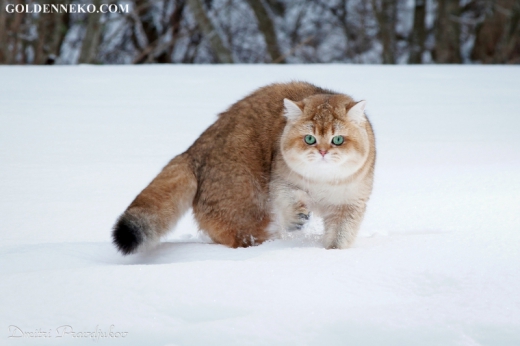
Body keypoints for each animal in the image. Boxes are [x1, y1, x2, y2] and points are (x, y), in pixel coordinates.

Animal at [112, 81, 374, 254]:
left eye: (337, 139)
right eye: (309, 138)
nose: (322, 152)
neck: (323, 181)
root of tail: (193, 150)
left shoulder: (349, 204)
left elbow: (340, 234)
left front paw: (331, 255)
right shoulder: (279, 181)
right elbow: (289, 197)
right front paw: (296, 218)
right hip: (247, 203)